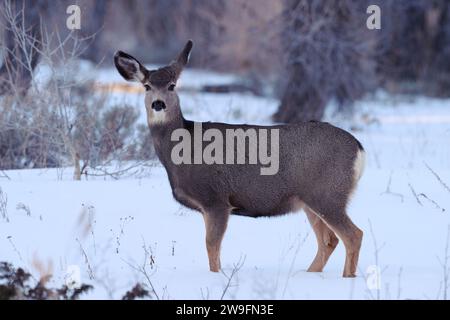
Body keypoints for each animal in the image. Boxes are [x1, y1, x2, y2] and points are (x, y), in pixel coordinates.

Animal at [113, 40, 366, 278]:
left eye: (172, 85)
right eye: (147, 86)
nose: (158, 104)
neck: (181, 153)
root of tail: (359, 148)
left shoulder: (216, 199)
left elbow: (212, 247)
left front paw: (216, 277)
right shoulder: (209, 206)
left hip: (328, 194)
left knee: (353, 235)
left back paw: (346, 278)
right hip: (310, 200)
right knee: (329, 241)